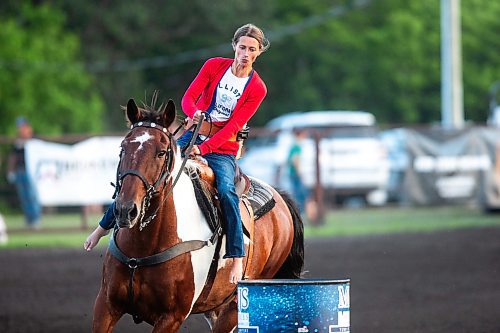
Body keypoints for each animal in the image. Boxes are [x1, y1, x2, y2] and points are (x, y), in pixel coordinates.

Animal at [93, 95, 304, 330]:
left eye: (161, 152)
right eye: (122, 148)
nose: (126, 210)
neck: (143, 248)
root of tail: (281, 199)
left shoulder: (171, 317)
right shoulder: (106, 304)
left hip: (235, 307)